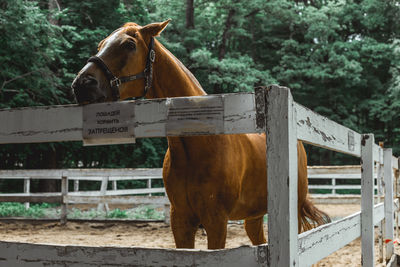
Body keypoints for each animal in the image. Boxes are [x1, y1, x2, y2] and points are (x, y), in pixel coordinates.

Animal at [71, 19, 328, 250]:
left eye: (129, 45)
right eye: (101, 44)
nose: (82, 83)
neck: (198, 145)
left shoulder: (217, 222)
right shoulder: (181, 221)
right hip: (253, 216)